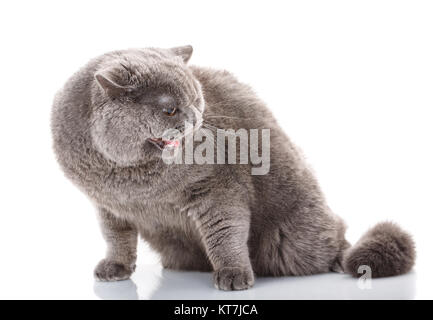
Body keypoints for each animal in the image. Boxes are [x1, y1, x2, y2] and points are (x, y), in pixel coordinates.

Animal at [51, 45, 416, 290]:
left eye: (197, 99)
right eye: (169, 109)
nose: (195, 120)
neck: (131, 179)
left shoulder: (219, 188)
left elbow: (225, 234)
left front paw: (233, 274)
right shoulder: (108, 207)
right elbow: (117, 239)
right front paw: (115, 267)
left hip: (298, 241)